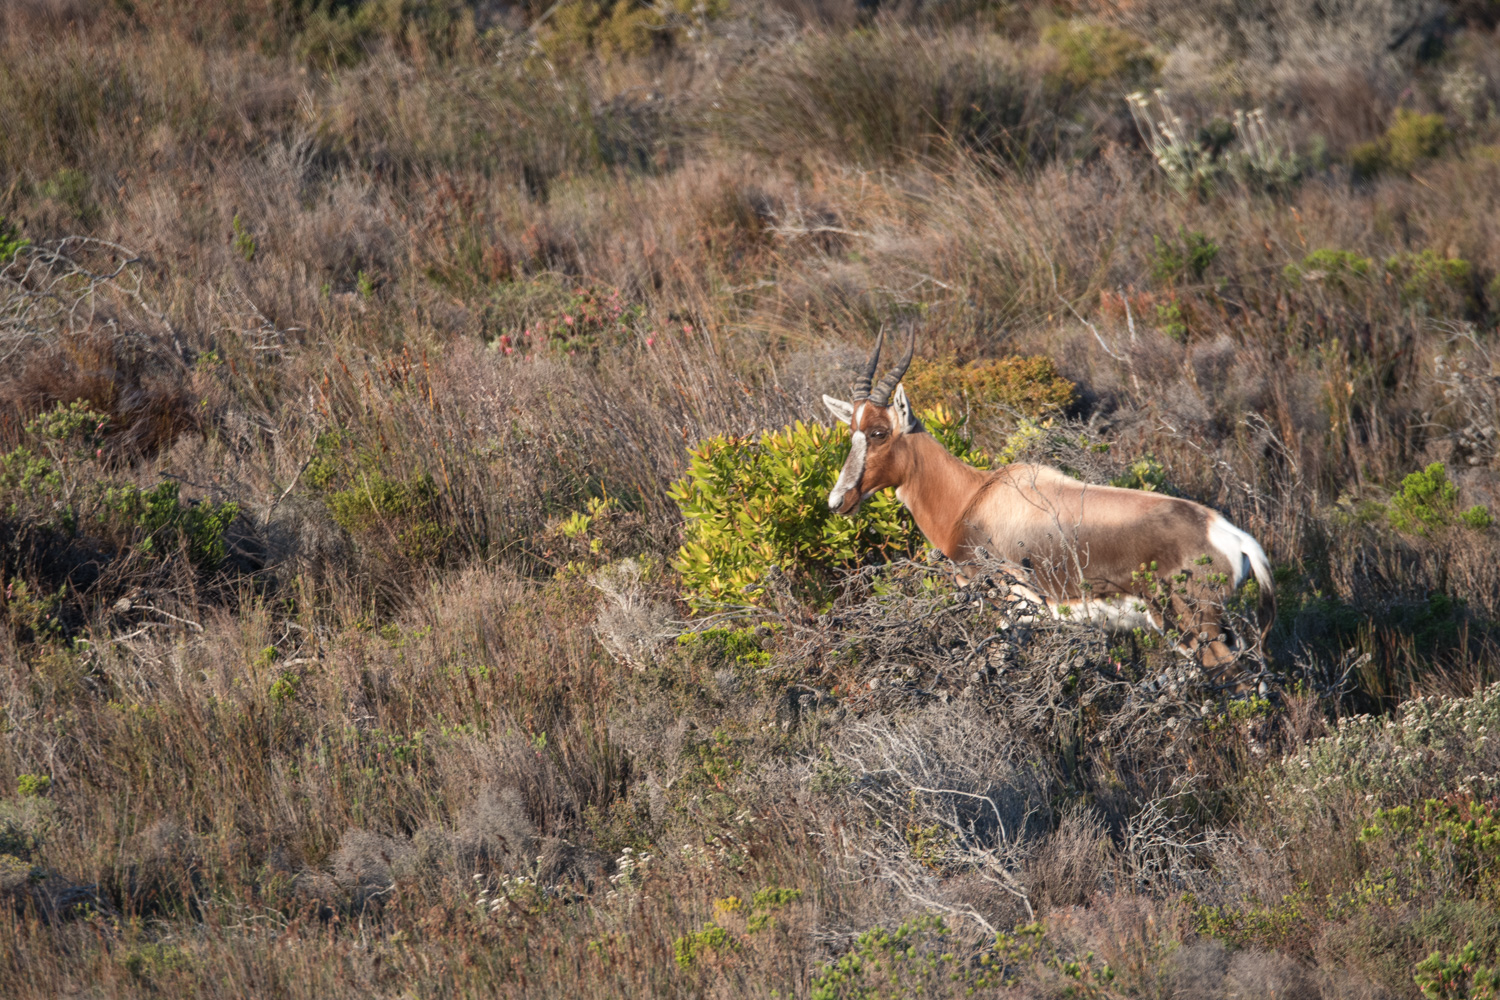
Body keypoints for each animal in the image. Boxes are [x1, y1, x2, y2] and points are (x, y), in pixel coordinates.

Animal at [822, 328, 1278, 668]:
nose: (837, 501)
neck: (975, 496)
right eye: (851, 431)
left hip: (1192, 625)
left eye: (879, 432)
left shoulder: (1011, 609)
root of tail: (1229, 534)